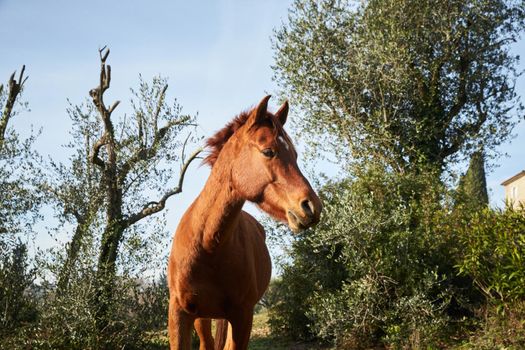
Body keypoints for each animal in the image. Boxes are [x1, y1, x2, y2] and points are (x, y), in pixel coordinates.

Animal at [168, 96, 322, 350]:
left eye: (295, 155)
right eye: (269, 151)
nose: (311, 207)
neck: (207, 245)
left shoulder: (242, 316)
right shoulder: (180, 314)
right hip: (202, 318)